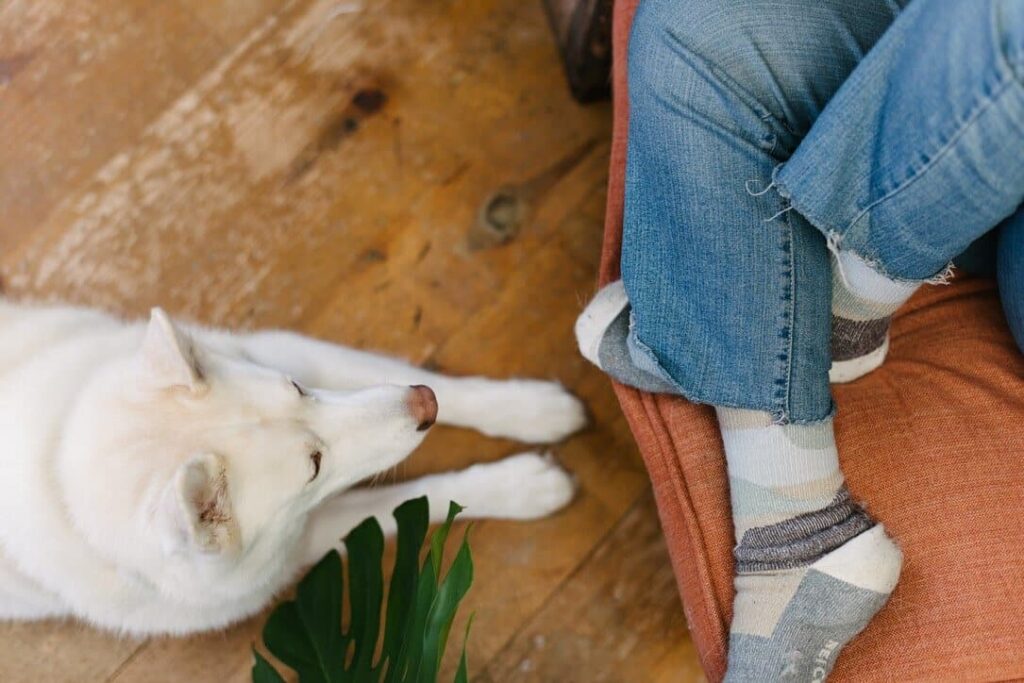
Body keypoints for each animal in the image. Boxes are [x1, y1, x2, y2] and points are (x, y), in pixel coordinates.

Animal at [0, 301, 585, 638]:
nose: (424, 407)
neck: (58, 458)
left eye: (298, 389)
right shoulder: (295, 544)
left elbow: (427, 382)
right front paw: (521, 487)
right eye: (314, 466)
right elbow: (410, 502)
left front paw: (532, 409)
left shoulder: (287, 352)